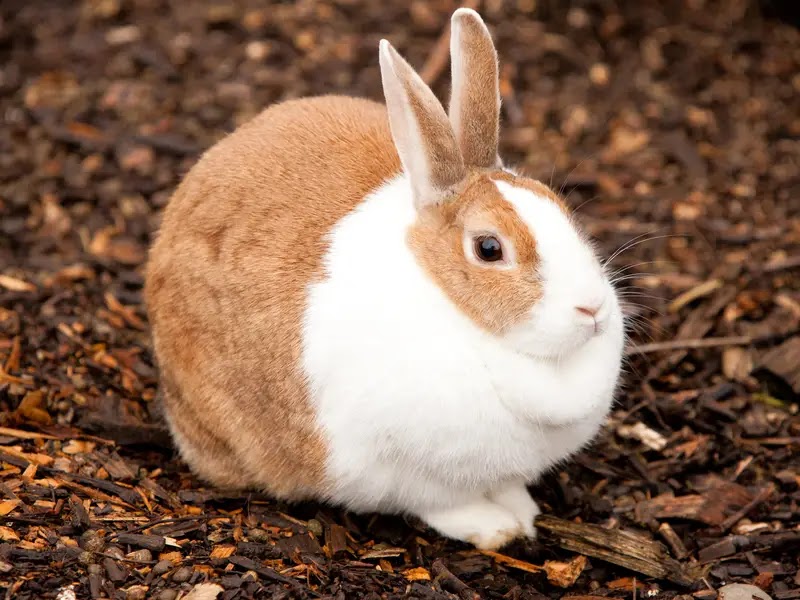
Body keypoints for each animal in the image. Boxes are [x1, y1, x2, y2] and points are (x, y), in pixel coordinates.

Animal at [144, 8, 626, 550]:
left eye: (560, 207)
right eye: (488, 249)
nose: (593, 309)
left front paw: (524, 511)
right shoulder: (408, 474)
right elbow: (445, 506)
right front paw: (499, 529)